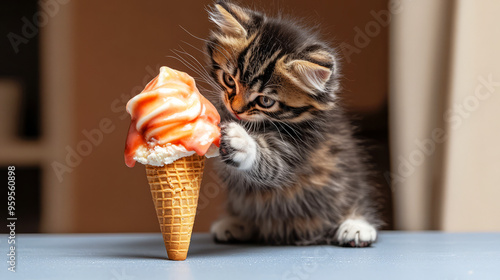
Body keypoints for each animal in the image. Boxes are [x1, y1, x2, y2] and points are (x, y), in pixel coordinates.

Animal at [205, 1, 380, 246]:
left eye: (266, 101)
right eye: (230, 80)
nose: (236, 110)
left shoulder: (300, 146)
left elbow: (271, 163)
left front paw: (241, 141)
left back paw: (356, 225)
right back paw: (237, 223)